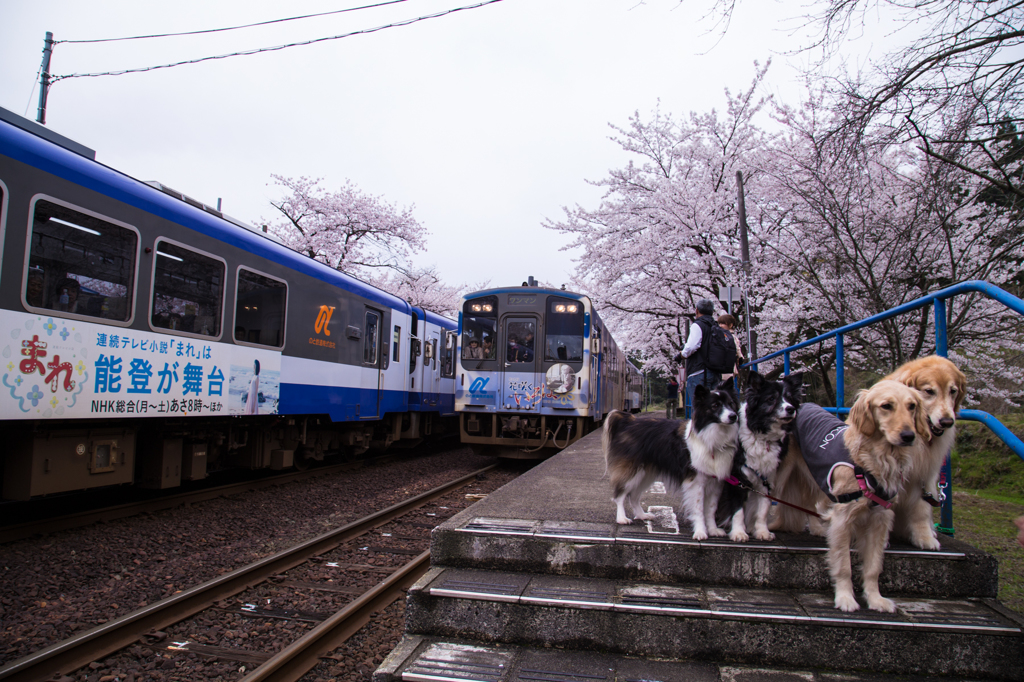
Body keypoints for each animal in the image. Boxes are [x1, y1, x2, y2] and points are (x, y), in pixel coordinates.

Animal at [602, 378, 741, 532]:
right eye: (715, 405)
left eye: (731, 404)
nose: (733, 416)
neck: (711, 435)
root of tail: (628, 421)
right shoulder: (695, 479)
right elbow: (698, 508)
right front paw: (700, 532)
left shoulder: (716, 481)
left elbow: (711, 508)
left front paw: (713, 530)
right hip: (631, 470)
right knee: (620, 495)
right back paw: (622, 518)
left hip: (646, 474)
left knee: (634, 496)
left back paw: (642, 515)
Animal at [716, 368, 802, 540]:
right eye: (771, 399)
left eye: (790, 398)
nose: (791, 409)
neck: (762, 436)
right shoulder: (738, 478)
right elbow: (738, 510)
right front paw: (738, 532)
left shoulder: (768, 478)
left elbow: (763, 509)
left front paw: (762, 532)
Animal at [884, 356, 962, 548]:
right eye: (929, 391)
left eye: (953, 391)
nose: (947, 421)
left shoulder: (925, 475)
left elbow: (922, 510)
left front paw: (925, 538)